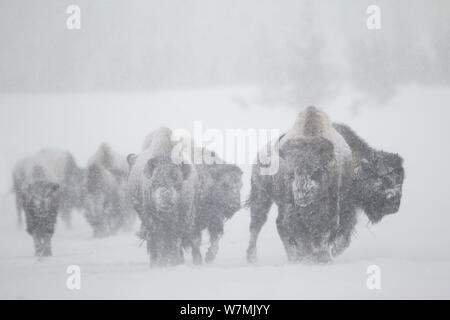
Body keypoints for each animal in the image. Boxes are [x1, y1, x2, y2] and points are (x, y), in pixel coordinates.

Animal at [126, 126, 243, 266]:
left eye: (240, 185)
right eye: (225, 184)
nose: (235, 206)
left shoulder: (213, 219)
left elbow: (213, 239)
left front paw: (207, 258)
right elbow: (190, 241)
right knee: (155, 241)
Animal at [246, 107, 356, 262]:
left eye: (316, 171)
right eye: (291, 173)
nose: (302, 195)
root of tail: (258, 157)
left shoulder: (332, 207)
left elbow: (324, 231)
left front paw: (321, 257)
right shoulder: (292, 210)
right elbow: (300, 233)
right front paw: (307, 257)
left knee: (278, 225)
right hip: (261, 196)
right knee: (257, 224)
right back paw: (253, 258)